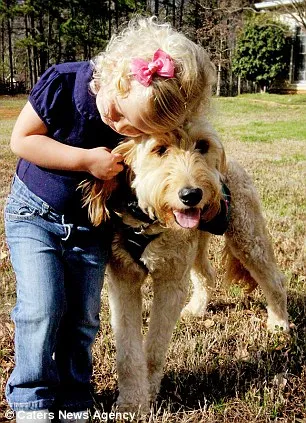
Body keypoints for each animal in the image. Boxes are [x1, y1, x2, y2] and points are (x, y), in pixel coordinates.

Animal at [81, 119, 290, 414]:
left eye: (202, 145)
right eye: (159, 149)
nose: (191, 195)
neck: (147, 222)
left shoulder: (170, 281)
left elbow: (156, 347)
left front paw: (149, 392)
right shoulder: (124, 280)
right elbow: (128, 351)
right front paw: (132, 401)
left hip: (247, 237)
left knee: (274, 280)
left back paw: (279, 323)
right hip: (197, 247)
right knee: (206, 275)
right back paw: (197, 308)